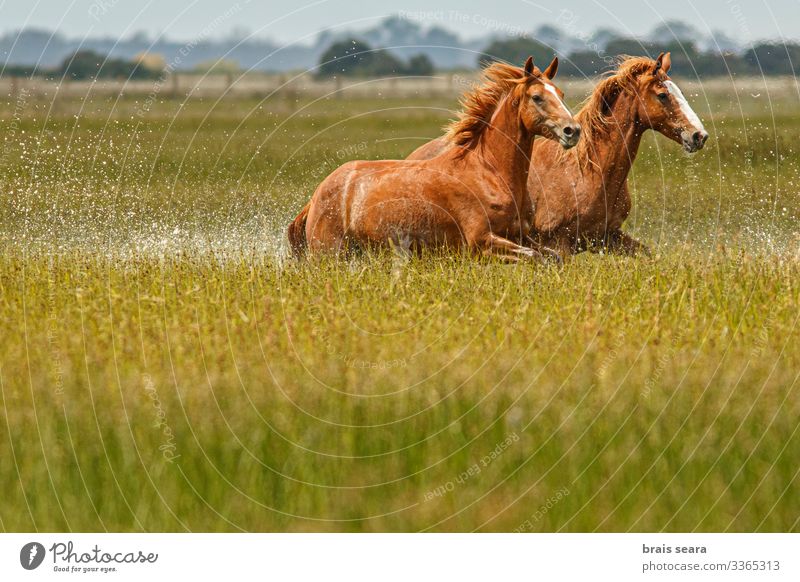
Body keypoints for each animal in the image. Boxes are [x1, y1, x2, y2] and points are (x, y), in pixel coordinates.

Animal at [288, 57, 580, 262]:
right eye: (537, 97)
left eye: (561, 94)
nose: (572, 131)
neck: (490, 172)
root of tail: (316, 195)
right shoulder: (481, 243)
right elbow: (536, 258)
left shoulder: (522, 235)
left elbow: (553, 257)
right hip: (330, 254)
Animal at [410, 52, 708, 258]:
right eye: (662, 95)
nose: (698, 136)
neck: (591, 170)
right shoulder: (559, 242)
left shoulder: (607, 237)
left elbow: (649, 256)